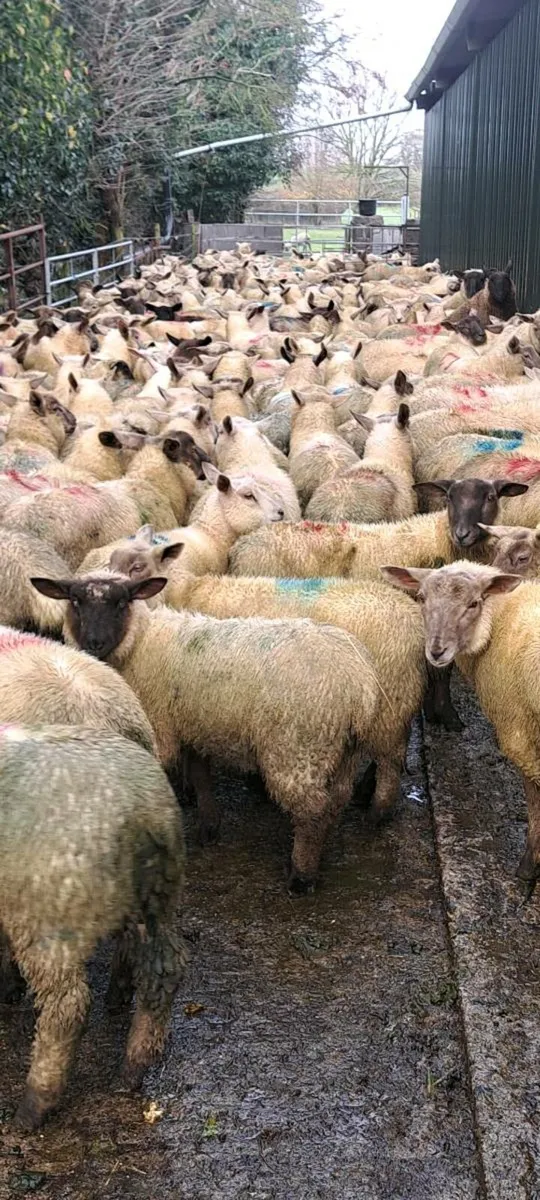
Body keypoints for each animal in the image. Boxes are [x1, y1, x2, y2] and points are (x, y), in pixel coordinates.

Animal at [0, 725, 186, 1130]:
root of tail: (142, 809)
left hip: (48, 917)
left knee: (67, 1007)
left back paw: (34, 1104)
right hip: (154, 901)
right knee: (163, 972)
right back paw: (132, 1070)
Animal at [34, 573, 380, 891]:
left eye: (121, 602)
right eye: (75, 601)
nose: (95, 643)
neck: (141, 642)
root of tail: (358, 682)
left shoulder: (160, 727)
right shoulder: (192, 725)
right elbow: (201, 777)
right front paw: (209, 827)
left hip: (298, 744)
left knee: (312, 811)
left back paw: (301, 875)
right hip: (344, 751)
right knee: (336, 800)